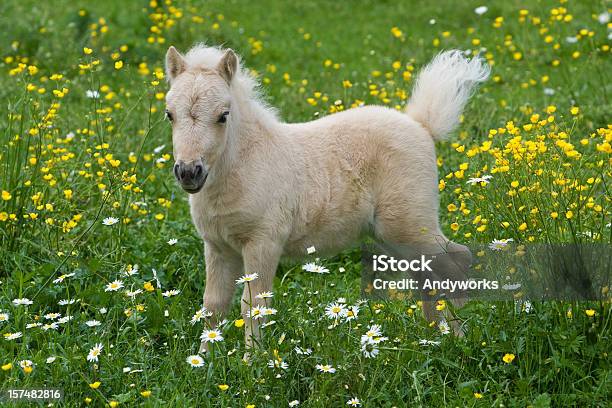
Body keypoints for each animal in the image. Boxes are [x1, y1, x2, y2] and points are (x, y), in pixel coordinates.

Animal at [165, 43, 490, 350]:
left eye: (223, 115)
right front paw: (204, 362)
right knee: (426, 274)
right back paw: (436, 335)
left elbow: (254, 307)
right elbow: (212, 307)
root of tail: (420, 125)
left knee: (456, 258)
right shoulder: (218, 248)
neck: (243, 165)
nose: (189, 172)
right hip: (393, 235)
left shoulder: (263, 243)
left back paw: (456, 333)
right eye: (169, 114)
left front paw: (252, 364)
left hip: (407, 225)